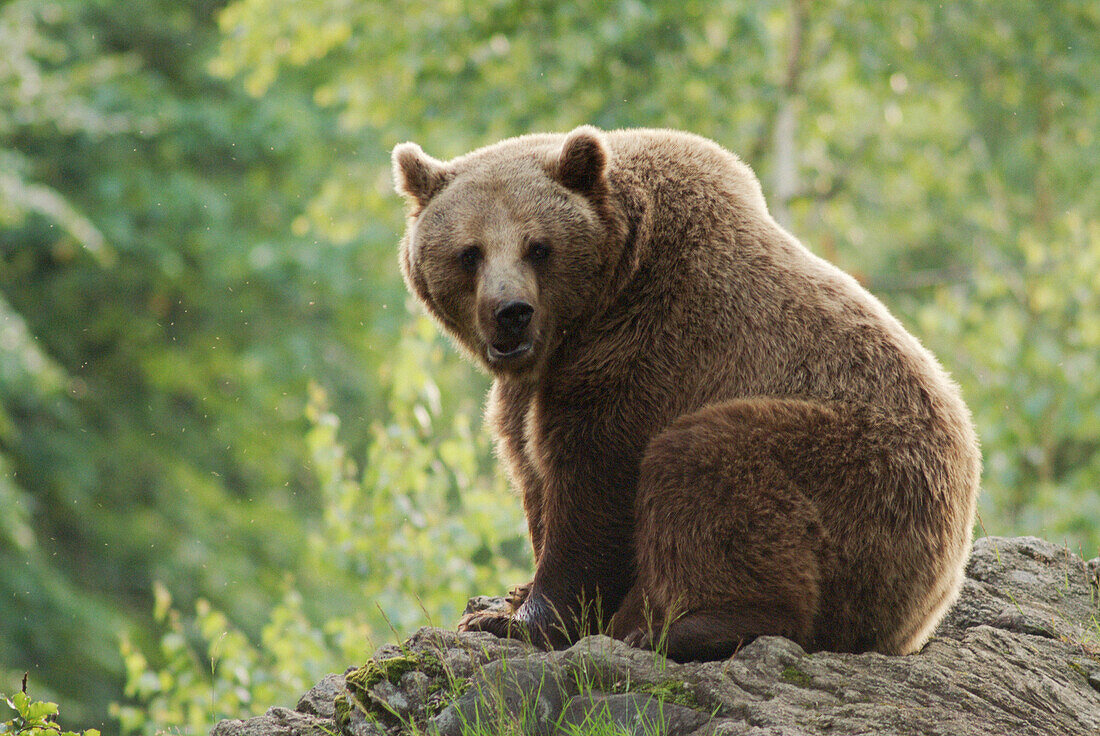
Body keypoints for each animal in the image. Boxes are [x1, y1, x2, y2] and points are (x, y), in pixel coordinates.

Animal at [389, 126, 981, 660]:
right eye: (470, 252)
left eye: (538, 247)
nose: (511, 312)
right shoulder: (534, 388)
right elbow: (532, 470)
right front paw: (509, 600)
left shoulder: (647, 352)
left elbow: (594, 490)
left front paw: (515, 620)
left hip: (866, 481)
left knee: (708, 464)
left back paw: (684, 628)